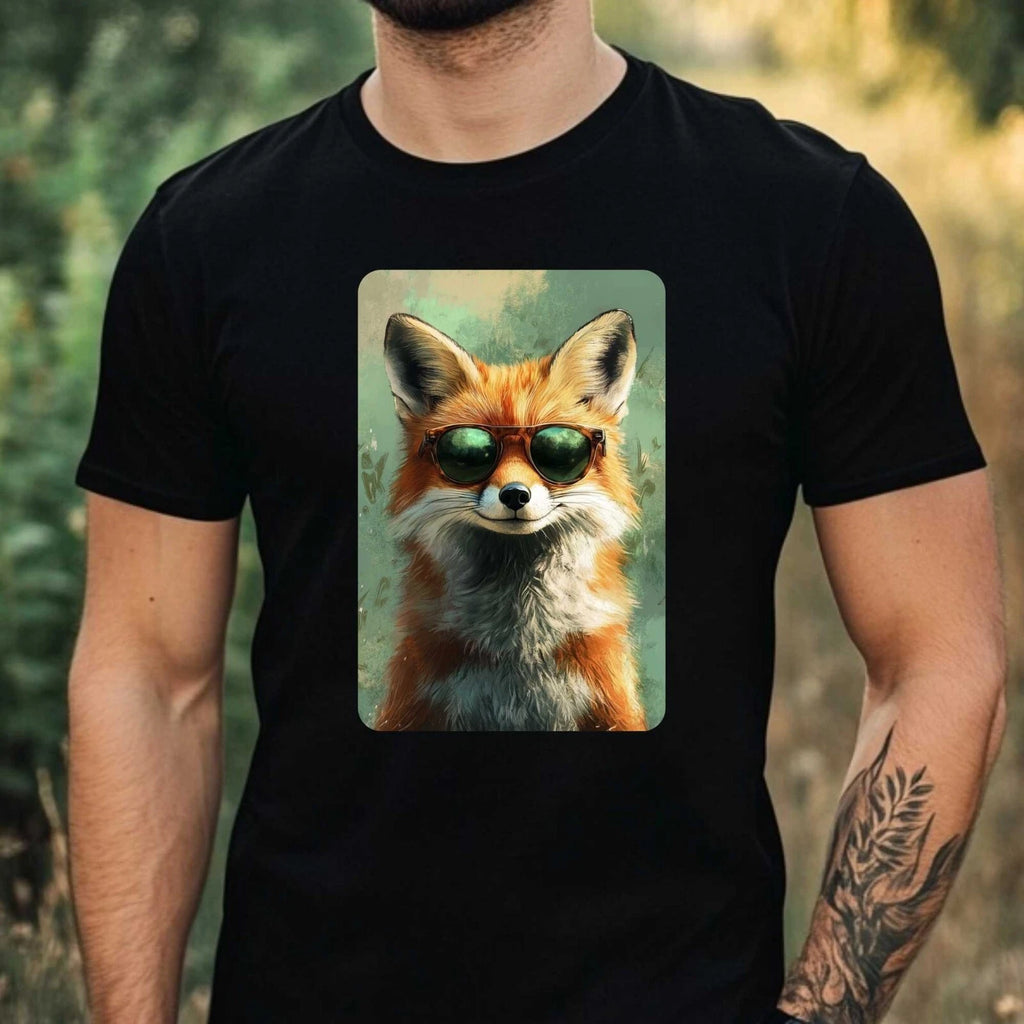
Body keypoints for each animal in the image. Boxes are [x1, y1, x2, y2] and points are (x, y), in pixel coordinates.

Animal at [374, 307, 646, 731]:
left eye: (558, 451)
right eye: (467, 453)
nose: (515, 495)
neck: (518, 649)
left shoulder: (611, 702)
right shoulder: (413, 702)